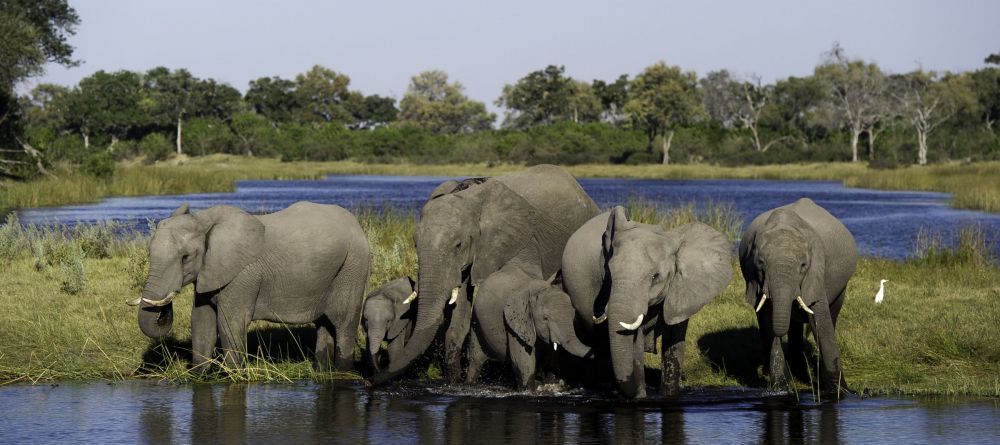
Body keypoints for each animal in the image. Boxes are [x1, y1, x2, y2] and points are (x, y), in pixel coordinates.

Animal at [131, 201, 370, 372]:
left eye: (186, 257)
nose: (164, 309)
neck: (203, 219)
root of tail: (356, 224)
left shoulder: (242, 275)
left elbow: (229, 323)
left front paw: (234, 375)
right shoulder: (210, 272)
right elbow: (201, 321)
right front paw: (198, 375)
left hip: (353, 266)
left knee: (343, 321)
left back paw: (343, 371)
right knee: (324, 323)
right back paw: (321, 370)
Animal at [370, 165, 596, 384]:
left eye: (458, 245)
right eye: (415, 244)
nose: (370, 381)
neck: (468, 196)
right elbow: (459, 309)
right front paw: (453, 383)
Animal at [564, 206, 736, 398]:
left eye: (655, 277)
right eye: (608, 275)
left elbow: (674, 337)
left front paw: (669, 395)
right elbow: (636, 341)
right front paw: (640, 397)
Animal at [740, 196, 856, 394]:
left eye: (803, 265)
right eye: (760, 263)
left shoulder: (816, 271)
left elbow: (820, 319)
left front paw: (839, 392)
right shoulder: (754, 277)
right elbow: (766, 320)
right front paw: (781, 389)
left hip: (841, 286)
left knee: (832, 314)